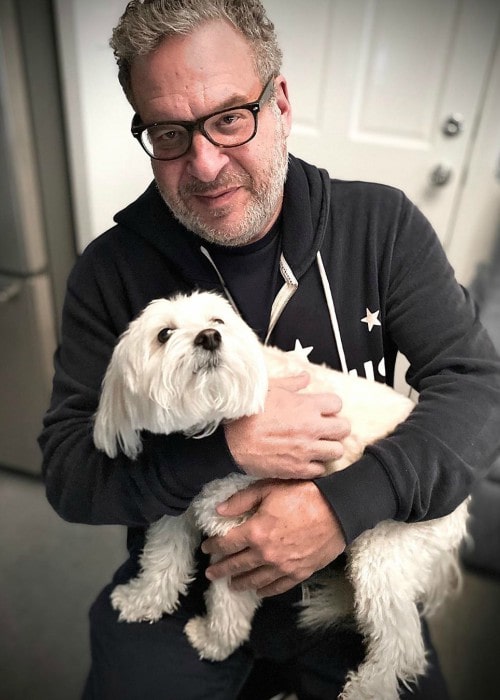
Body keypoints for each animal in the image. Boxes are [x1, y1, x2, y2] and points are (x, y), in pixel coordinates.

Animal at [93, 290, 468, 700]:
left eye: (217, 321)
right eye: (164, 334)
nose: (209, 337)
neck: (214, 418)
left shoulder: (238, 530)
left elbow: (228, 598)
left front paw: (214, 641)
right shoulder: (176, 513)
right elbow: (162, 563)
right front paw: (141, 601)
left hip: (383, 554)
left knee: (402, 644)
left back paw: (368, 687)